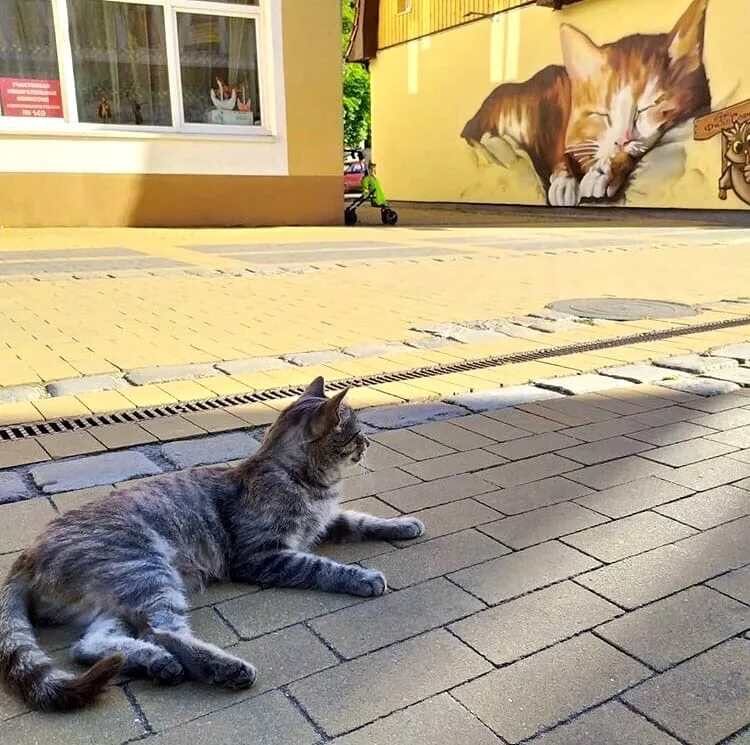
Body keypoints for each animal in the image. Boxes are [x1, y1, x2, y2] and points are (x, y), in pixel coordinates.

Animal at [0, 378, 424, 708]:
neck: (301, 481)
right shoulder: (263, 555)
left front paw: (403, 524)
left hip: (115, 602)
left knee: (90, 646)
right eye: (354, 432)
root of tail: (26, 555)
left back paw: (157, 664)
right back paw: (223, 668)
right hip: (147, 571)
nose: (368, 443)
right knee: (163, 632)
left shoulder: (325, 523)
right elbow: (320, 566)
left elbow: (363, 519)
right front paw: (360, 577)